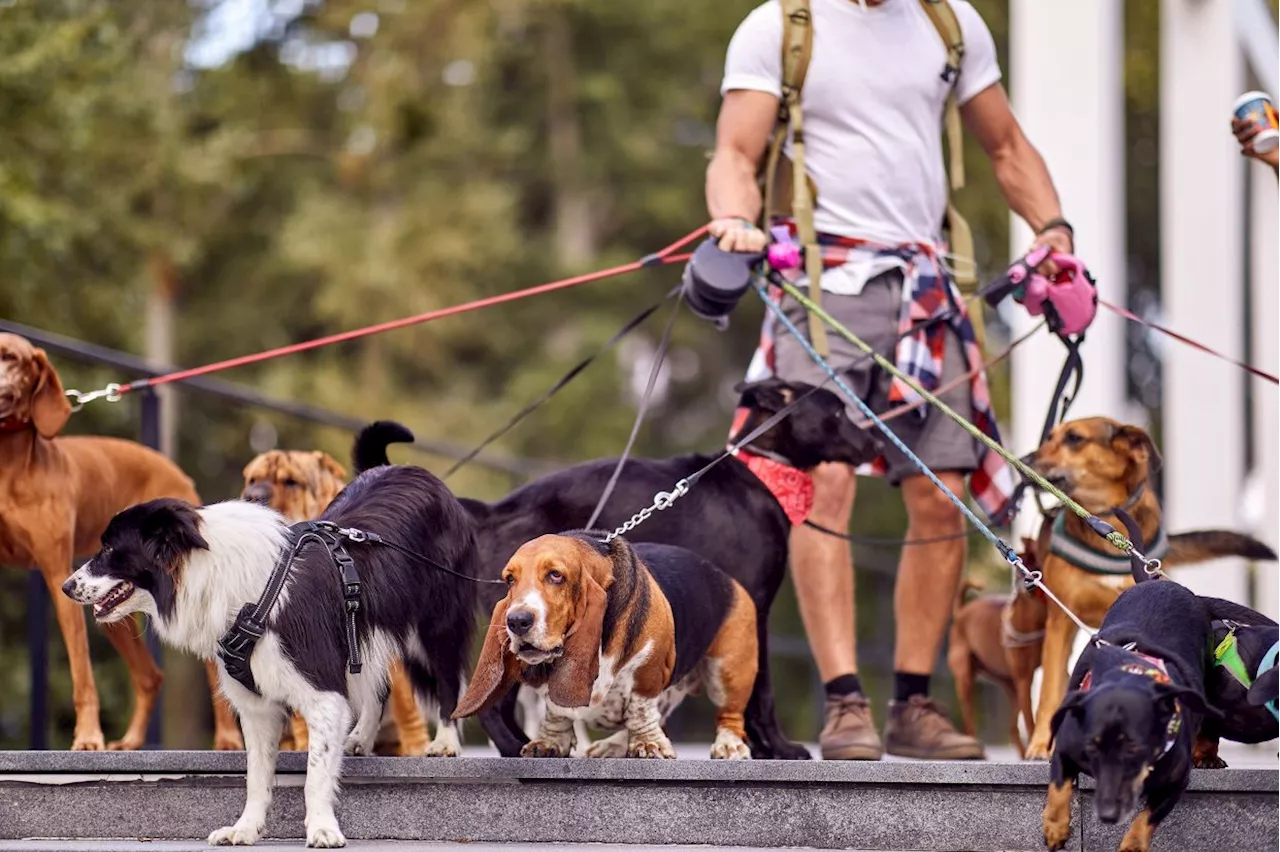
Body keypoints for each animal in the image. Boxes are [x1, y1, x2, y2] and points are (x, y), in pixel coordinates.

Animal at [0, 332, 241, 752]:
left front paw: (87, 738)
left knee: (210, 666)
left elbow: (82, 674)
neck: (9, 466)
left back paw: (227, 738)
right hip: (109, 606)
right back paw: (130, 741)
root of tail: (176, 473)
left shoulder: (56, 573)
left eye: (11, 356)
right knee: (150, 676)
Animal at [455, 532, 757, 757]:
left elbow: (639, 708)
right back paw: (610, 746)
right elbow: (555, 711)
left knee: (729, 716)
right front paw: (549, 742)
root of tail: (726, 578)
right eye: (510, 579)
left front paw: (648, 744)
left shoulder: (649, 671)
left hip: (727, 672)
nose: (517, 621)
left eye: (556, 575)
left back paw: (728, 746)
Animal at [947, 537, 1044, 757]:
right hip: (965, 679)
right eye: (1021, 568)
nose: (1026, 584)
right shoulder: (1024, 677)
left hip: (1010, 684)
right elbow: (1030, 720)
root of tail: (962, 611)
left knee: (1012, 728)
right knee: (970, 722)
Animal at [1018, 417, 1269, 757]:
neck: (1107, 522)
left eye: (1074, 438)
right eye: (1051, 437)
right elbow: (1048, 690)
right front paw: (1040, 745)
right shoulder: (1060, 623)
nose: (1025, 461)